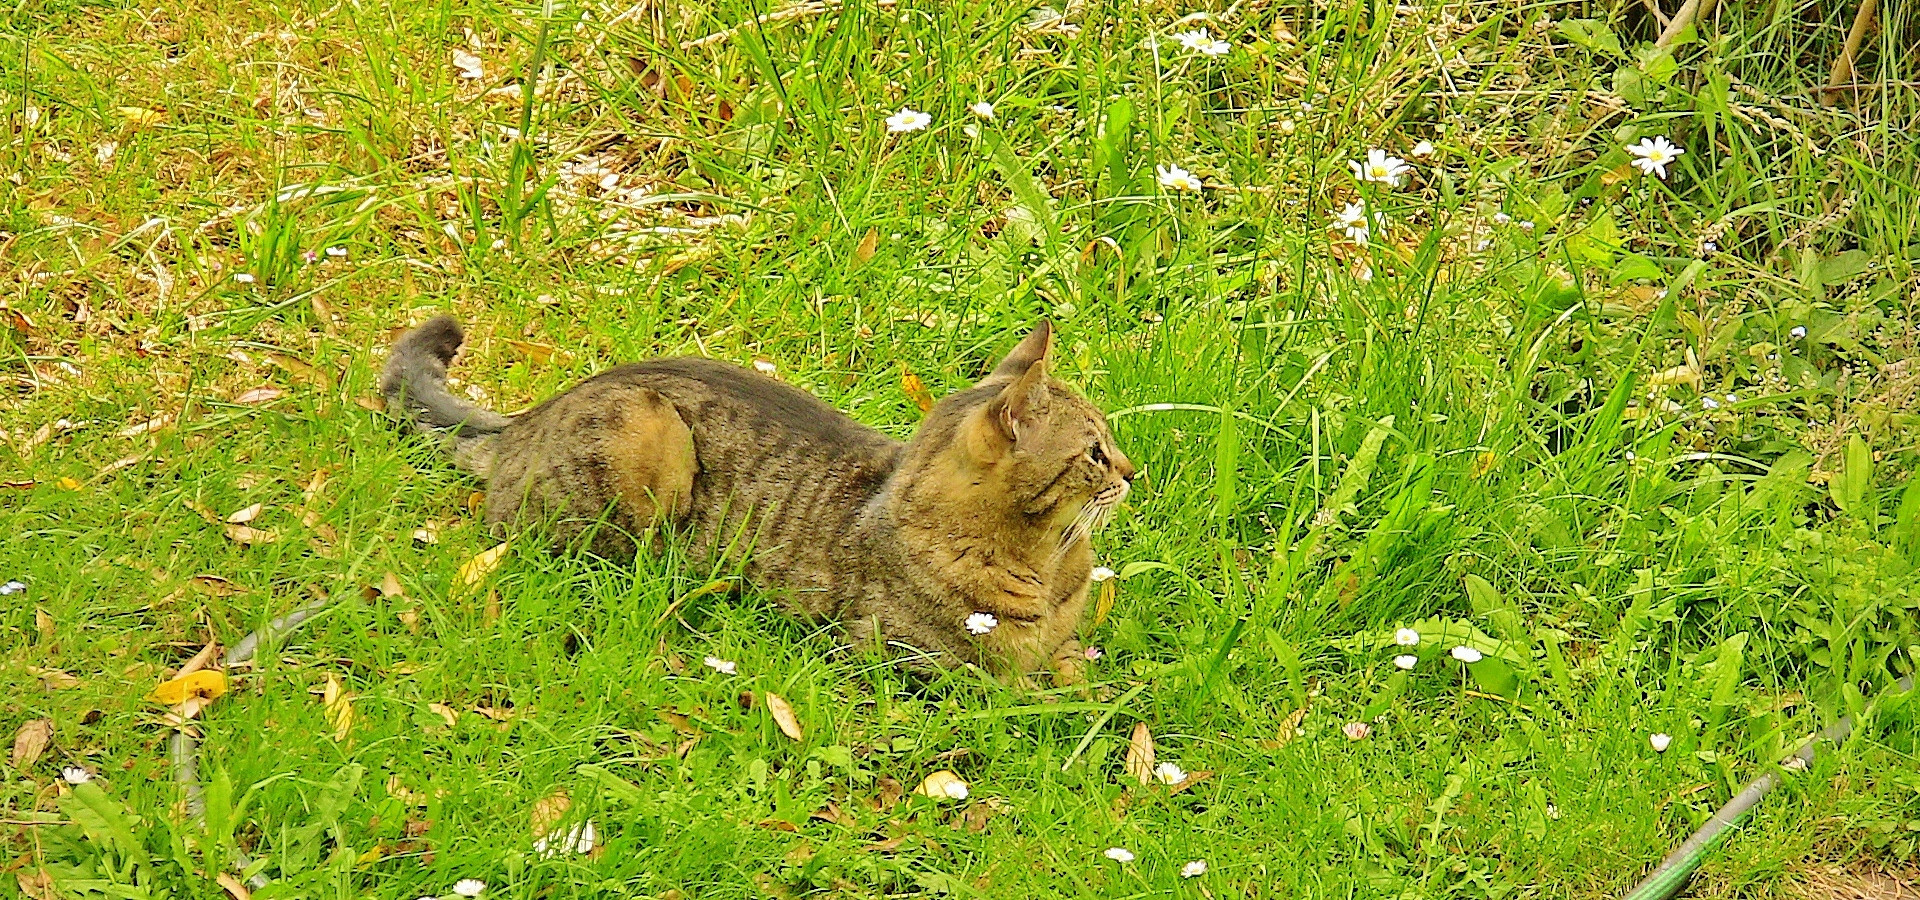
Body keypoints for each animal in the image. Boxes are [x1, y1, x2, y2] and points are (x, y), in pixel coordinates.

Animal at [382, 316, 1128, 675]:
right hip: (646, 438)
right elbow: (1022, 691)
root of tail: (522, 421)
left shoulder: (1066, 644)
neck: (1047, 560)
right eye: (1095, 451)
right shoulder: (905, 657)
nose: (1132, 470)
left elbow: (1081, 676)